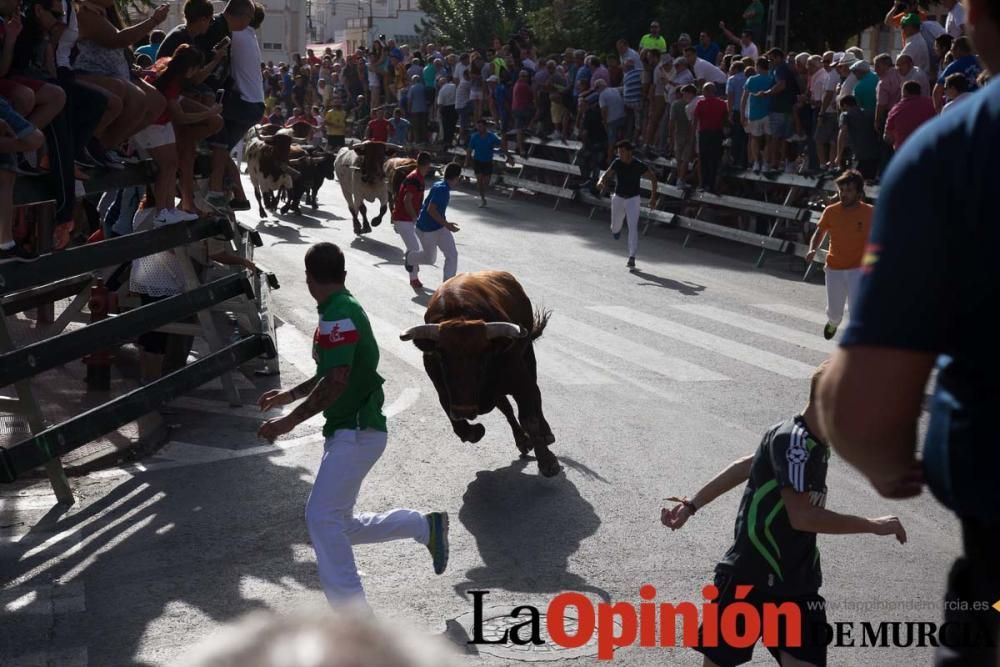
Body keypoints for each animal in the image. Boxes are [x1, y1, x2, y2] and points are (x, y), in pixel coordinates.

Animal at [398, 268, 560, 478]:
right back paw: (522, 440)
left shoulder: (520, 381)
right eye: (441, 356)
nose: (465, 410)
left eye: (483, 356)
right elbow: (460, 426)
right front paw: (476, 431)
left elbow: (529, 418)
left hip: (528, 358)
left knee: (536, 395)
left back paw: (546, 433)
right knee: (505, 407)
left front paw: (547, 461)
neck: (459, 315)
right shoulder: (443, 392)